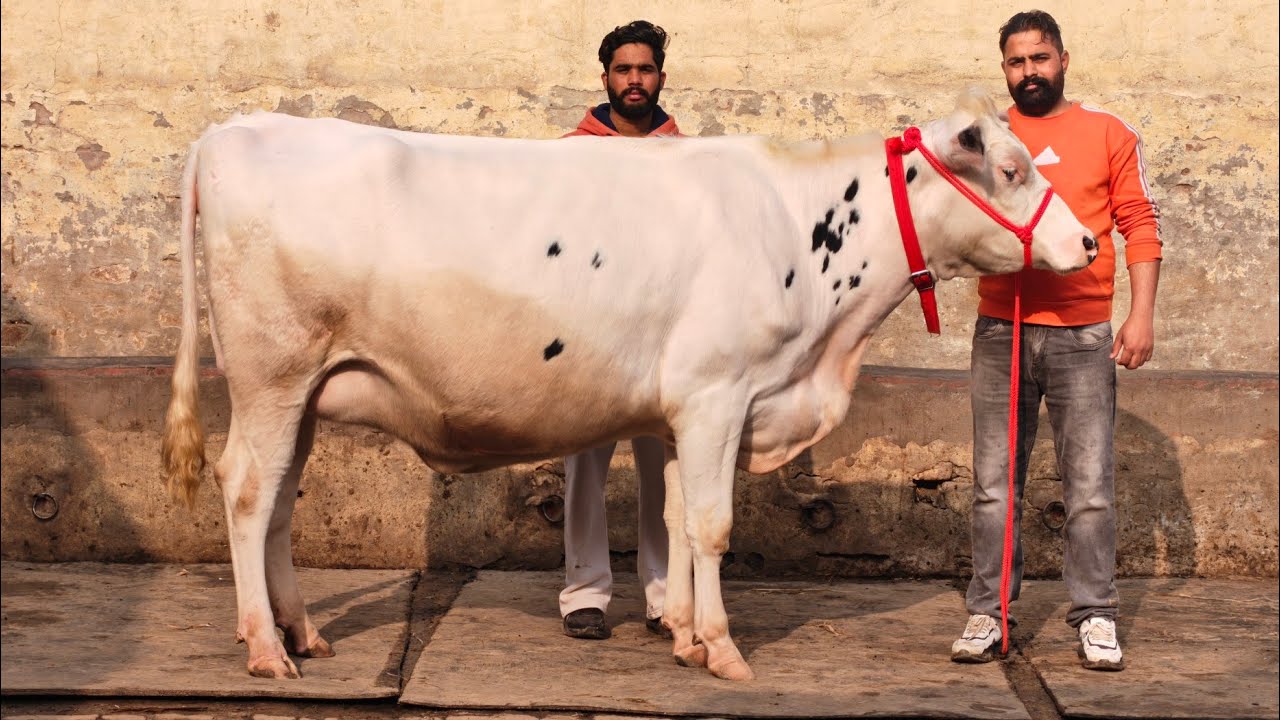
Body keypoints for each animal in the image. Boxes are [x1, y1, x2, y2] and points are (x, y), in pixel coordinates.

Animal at [161, 88, 1096, 682]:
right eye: (1013, 170)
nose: (1089, 243)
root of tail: (235, 129)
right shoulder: (721, 393)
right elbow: (713, 527)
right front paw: (722, 648)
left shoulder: (685, 408)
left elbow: (676, 519)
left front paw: (680, 633)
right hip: (273, 374)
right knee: (247, 492)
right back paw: (265, 649)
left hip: (302, 391)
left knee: (279, 501)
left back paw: (303, 633)